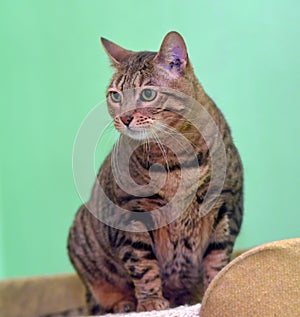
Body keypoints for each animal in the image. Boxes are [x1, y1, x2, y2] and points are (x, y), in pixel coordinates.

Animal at [68, 31, 244, 314]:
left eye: (148, 93)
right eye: (115, 96)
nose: (125, 118)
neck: (177, 159)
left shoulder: (225, 206)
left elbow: (217, 259)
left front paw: (213, 293)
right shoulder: (132, 212)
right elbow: (141, 263)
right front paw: (150, 301)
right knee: (98, 304)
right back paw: (125, 304)